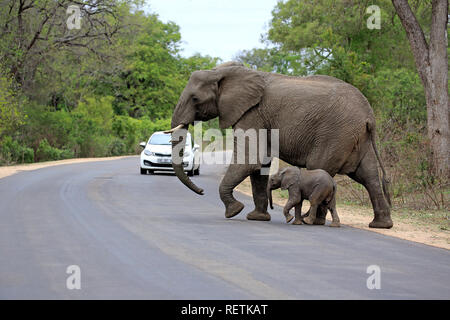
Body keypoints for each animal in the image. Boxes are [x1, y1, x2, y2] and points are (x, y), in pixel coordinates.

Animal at [167, 62, 392, 228]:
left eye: (195, 98)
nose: (201, 191)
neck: (224, 72)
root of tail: (369, 116)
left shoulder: (252, 113)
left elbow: (250, 160)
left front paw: (234, 211)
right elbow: (260, 164)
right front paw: (257, 218)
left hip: (335, 134)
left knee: (321, 168)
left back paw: (312, 221)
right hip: (357, 138)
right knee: (369, 176)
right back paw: (381, 225)